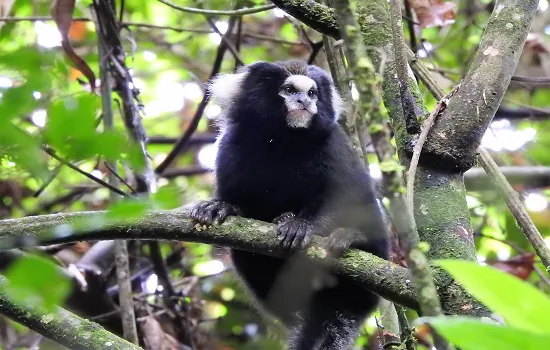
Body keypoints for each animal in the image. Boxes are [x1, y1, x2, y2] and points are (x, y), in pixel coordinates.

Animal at [192, 60, 390, 350]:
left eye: (312, 93)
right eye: (289, 90)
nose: (305, 102)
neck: (282, 141)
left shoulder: (335, 145)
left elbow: (344, 195)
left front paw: (302, 225)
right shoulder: (230, 147)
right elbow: (240, 202)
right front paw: (222, 207)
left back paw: (353, 239)